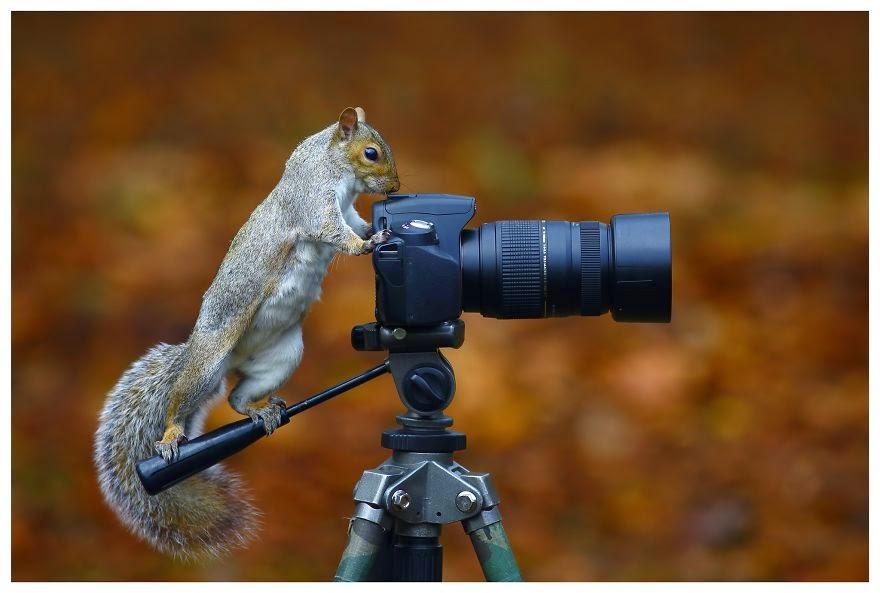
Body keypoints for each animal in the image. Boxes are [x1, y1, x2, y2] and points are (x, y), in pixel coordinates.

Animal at [92, 107, 398, 560]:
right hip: (208, 363)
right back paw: (170, 436)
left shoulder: (347, 208)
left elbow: (354, 223)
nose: (397, 188)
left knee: (236, 397)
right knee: (178, 400)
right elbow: (333, 231)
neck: (330, 162)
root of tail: (219, 355)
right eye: (371, 152)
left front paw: (373, 233)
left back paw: (260, 411)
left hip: (282, 356)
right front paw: (372, 241)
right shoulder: (314, 200)